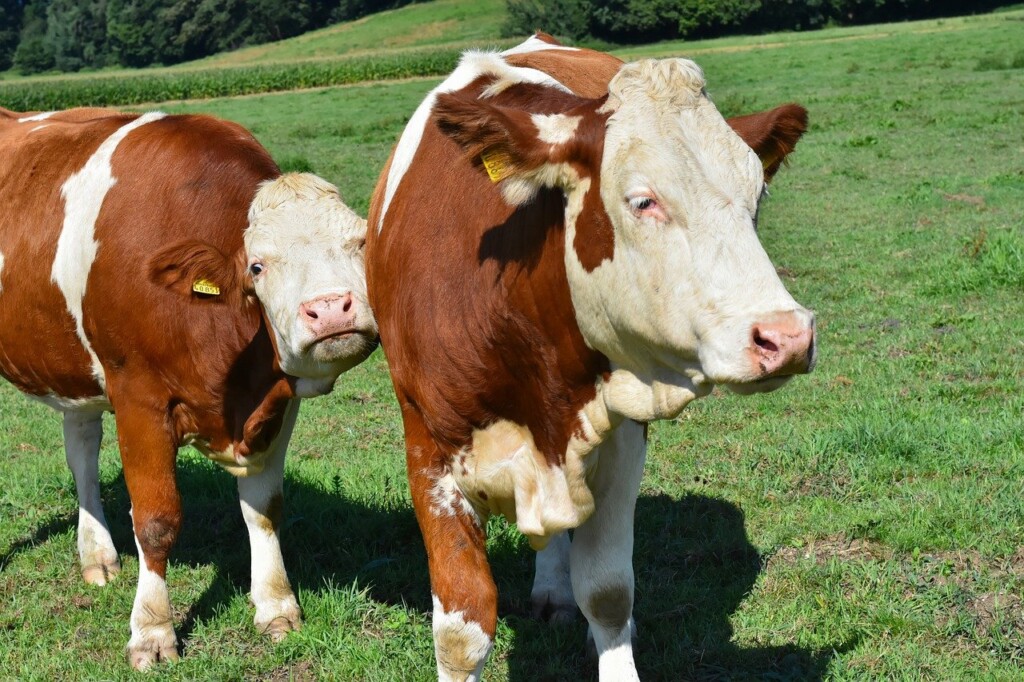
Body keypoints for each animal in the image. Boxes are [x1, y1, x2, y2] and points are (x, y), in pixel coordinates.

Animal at [0, 109, 378, 667]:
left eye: (361, 243)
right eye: (257, 266)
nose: (331, 309)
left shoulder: (276, 404)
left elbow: (265, 509)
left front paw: (275, 606)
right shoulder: (138, 398)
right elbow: (156, 520)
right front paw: (152, 631)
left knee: (81, 449)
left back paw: (97, 555)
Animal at [366, 34, 815, 675]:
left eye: (757, 197)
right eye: (643, 201)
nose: (787, 336)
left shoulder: (622, 431)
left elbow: (606, 590)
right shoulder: (427, 447)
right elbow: (462, 627)